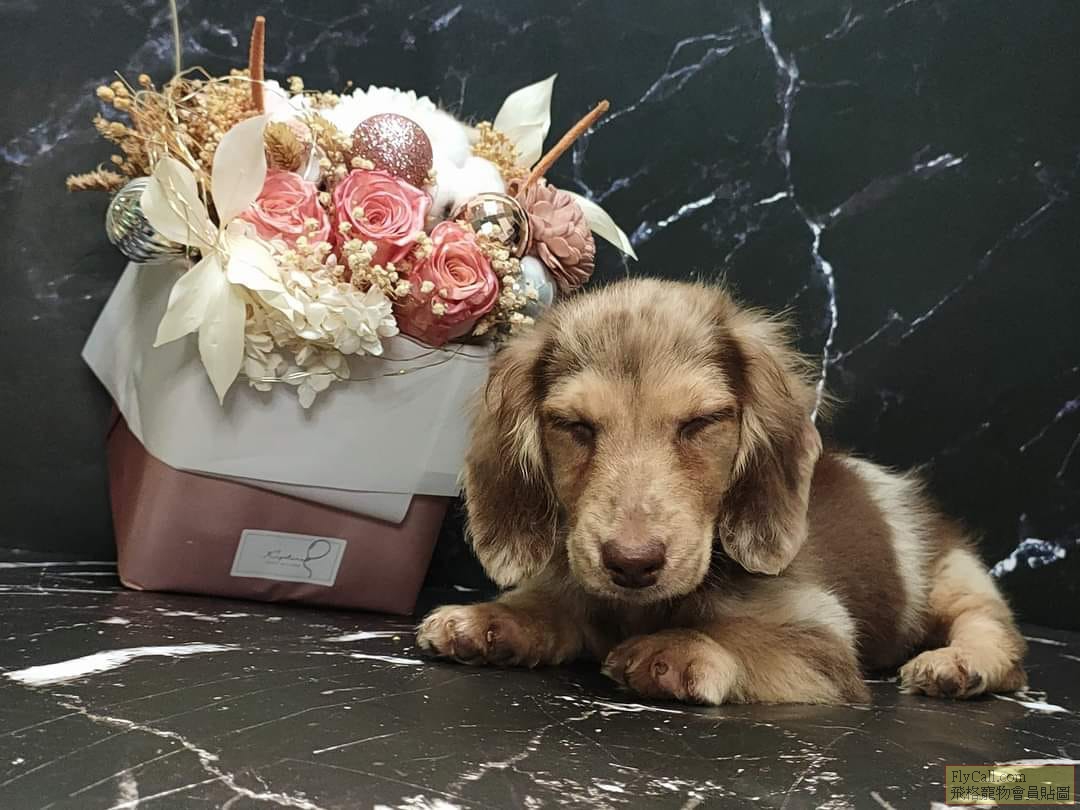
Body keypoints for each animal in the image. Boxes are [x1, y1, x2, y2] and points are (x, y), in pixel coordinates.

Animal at [417, 279, 1027, 704]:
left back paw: (956, 664)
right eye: (575, 427)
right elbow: (546, 608)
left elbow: (744, 636)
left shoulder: (820, 634)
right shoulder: (579, 599)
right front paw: (490, 620)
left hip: (956, 577)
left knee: (995, 633)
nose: (632, 564)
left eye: (700, 423)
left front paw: (678, 648)